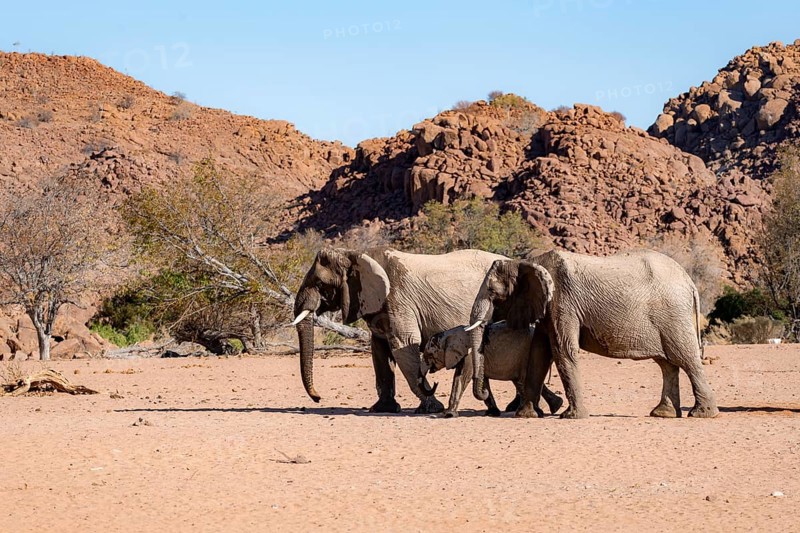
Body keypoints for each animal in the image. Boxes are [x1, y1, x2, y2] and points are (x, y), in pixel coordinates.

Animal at [292, 247, 508, 414]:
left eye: (320, 284)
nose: (318, 398)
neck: (357, 254)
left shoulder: (398, 298)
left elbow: (403, 345)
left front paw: (431, 409)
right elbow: (380, 351)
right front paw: (382, 409)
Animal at [422, 321, 564, 418]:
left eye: (429, 355)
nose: (436, 382)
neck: (450, 333)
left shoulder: (468, 355)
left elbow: (461, 377)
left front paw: (449, 415)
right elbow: (482, 380)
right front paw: (492, 413)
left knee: (523, 380)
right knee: (524, 380)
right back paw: (555, 406)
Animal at [466, 249, 719, 419]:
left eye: (492, 292)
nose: (485, 392)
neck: (528, 262)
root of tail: (689, 281)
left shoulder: (563, 302)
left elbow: (563, 350)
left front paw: (571, 417)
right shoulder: (547, 308)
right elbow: (539, 353)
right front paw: (526, 415)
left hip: (673, 316)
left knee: (686, 359)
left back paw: (702, 414)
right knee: (667, 364)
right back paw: (663, 414)